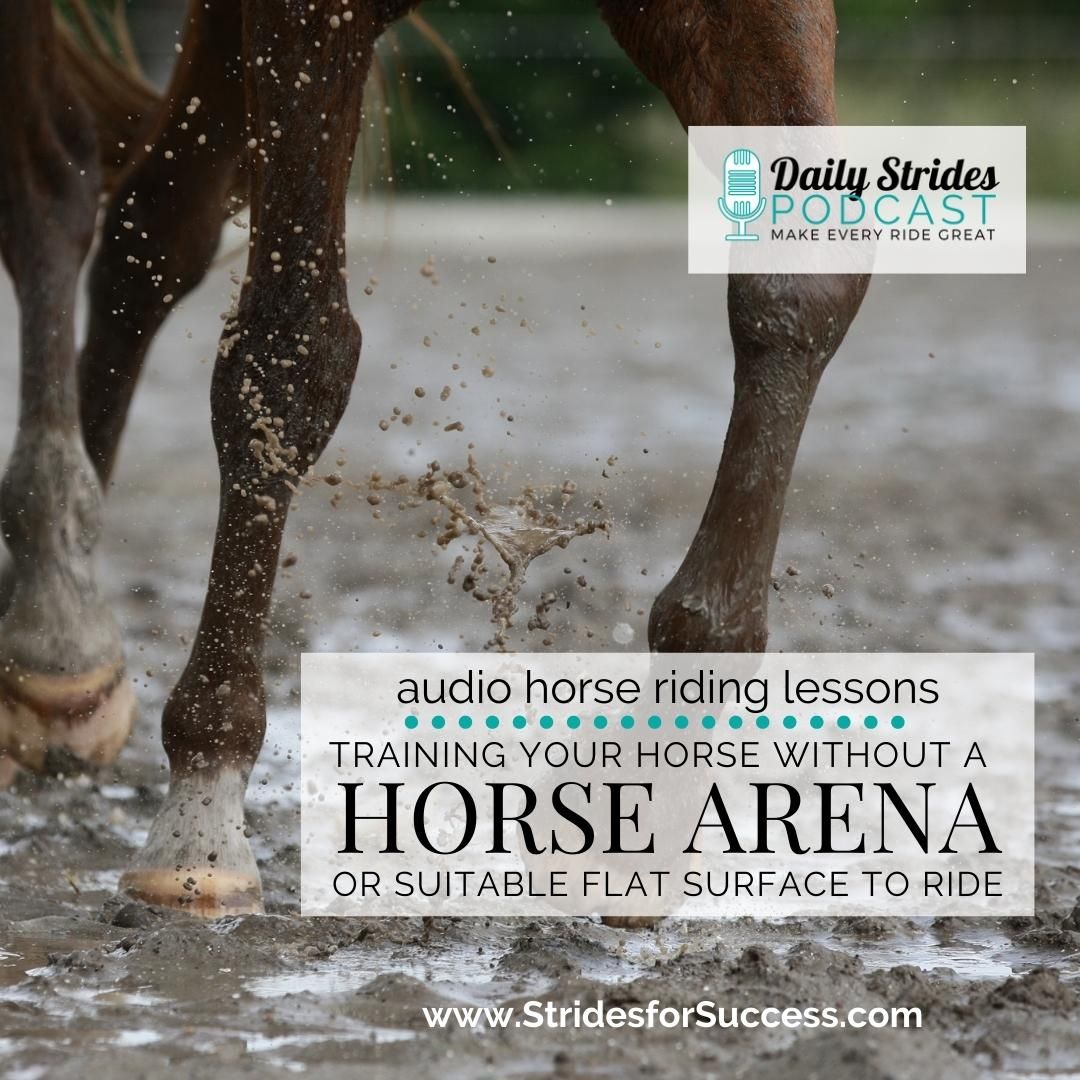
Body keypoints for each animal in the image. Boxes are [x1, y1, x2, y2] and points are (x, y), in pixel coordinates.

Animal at [0, 0, 867, 916]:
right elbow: (290, 343)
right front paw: (202, 811)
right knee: (50, 183)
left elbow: (803, 276)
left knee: (152, 228)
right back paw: (55, 615)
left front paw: (657, 791)